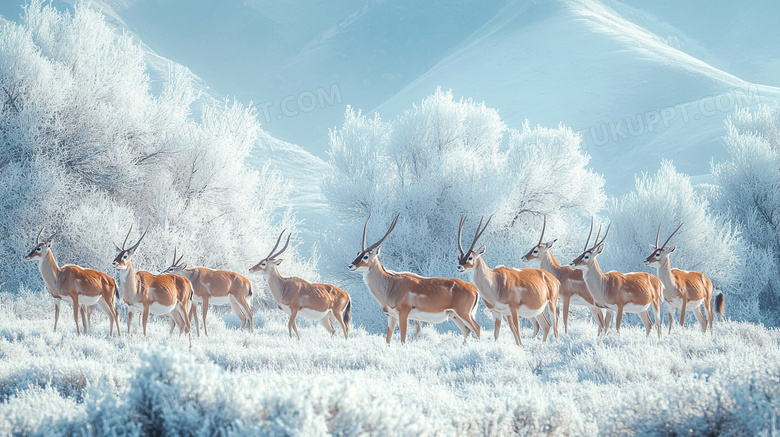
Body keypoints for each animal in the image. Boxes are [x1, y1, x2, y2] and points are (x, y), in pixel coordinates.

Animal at [348, 214, 482, 344]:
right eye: (358, 253)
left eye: (366, 256)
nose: (350, 266)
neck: (391, 284)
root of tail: (473, 288)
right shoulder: (391, 316)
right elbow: (388, 340)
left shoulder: (403, 314)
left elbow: (403, 339)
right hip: (455, 315)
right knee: (467, 331)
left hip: (463, 314)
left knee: (477, 328)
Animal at [458, 215, 560, 344]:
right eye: (459, 257)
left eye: (470, 257)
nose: (459, 267)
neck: (495, 283)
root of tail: (552, 277)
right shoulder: (497, 312)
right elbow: (497, 334)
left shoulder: (513, 309)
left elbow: (517, 330)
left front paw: (520, 346)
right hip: (537, 311)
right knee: (546, 325)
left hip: (551, 304)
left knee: (555, 326)